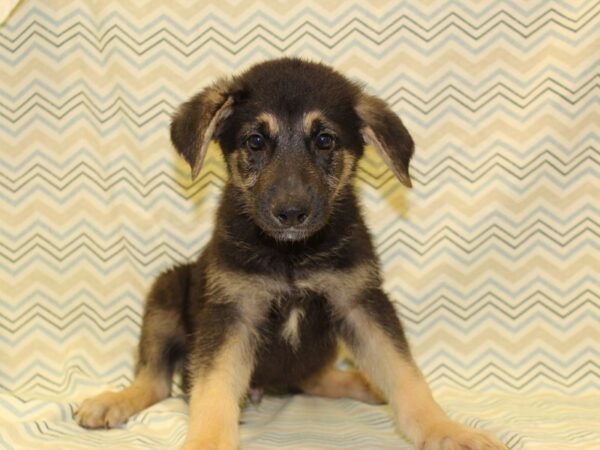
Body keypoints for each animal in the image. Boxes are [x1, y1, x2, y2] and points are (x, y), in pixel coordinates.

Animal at [75, 57, 506, 450]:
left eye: (325, 140)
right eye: (255, 141)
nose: (291, 213)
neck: (292, 257)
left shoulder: (361, 302)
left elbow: (405, 375)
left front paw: (446, 430)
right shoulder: (233, 311)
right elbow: (213, 391)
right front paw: (206, 442)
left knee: (311, 377)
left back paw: (362, 383)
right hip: (165, 294)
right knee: (156, 380)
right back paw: (112, 401)